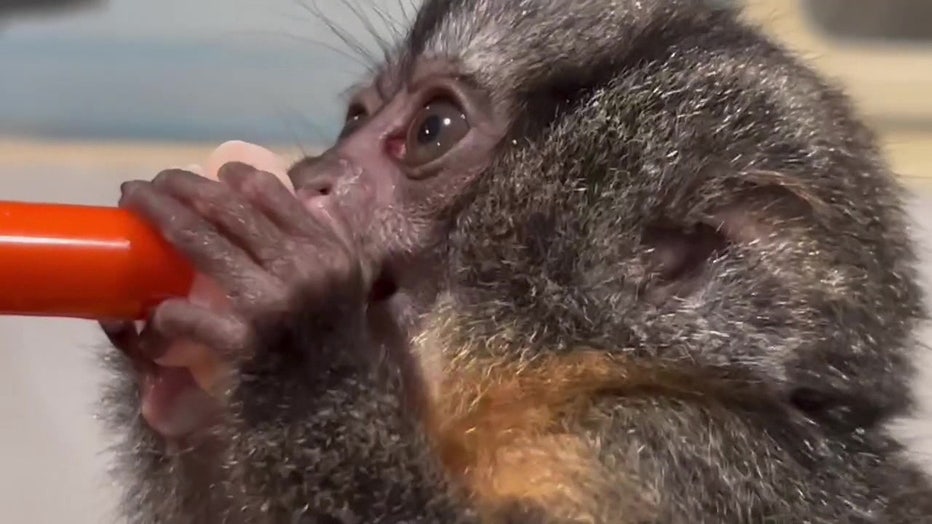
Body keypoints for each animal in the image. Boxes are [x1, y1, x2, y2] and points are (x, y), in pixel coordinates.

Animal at [96, 1, 932, 524]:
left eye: (431, 130)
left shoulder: (667, 454)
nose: (312, 177)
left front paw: (299, 328)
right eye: (357, 117)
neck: (578, 374)